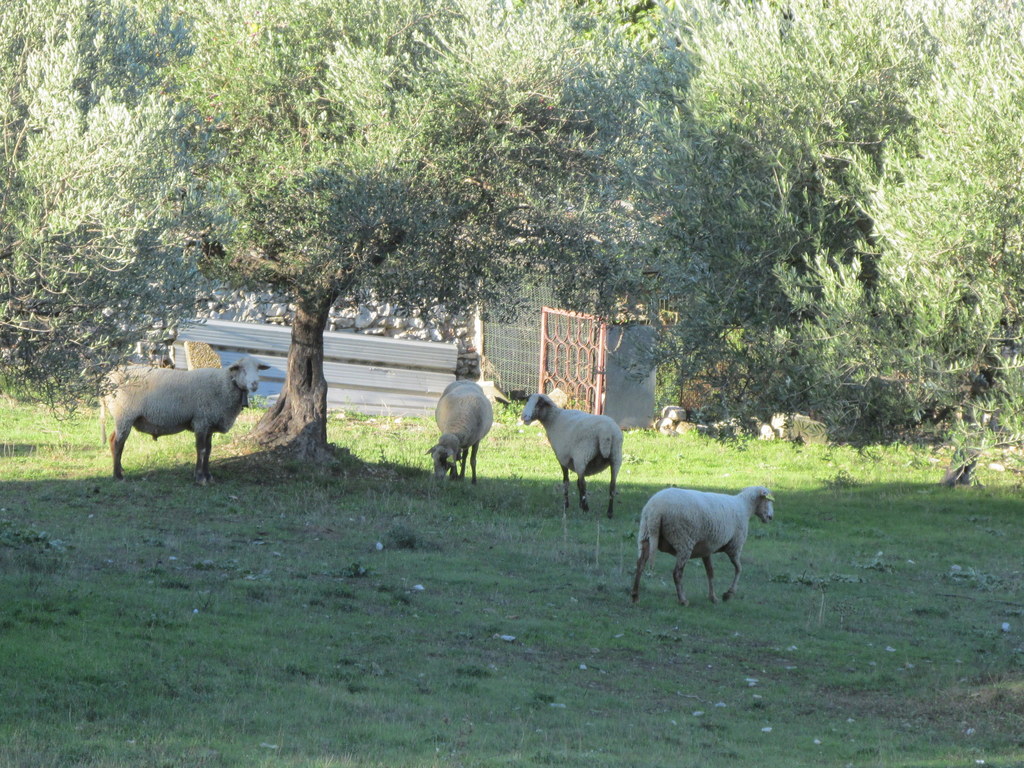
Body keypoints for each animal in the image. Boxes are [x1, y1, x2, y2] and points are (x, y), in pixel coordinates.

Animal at [99, 356, 266, 487]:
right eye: (241, 369)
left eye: (258, 369)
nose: (255, 384)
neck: (225, 384)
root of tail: (106, 379)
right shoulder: (201, 421)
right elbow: (201, 450)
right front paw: (200, 477)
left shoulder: (209, 423)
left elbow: (209, 451)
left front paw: (208, 476)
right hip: (124, 413)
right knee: (117, 442)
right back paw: (118, 476)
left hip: (123, 417)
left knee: (114, 440)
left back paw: (119, 469)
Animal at [626, 487, 770, 606]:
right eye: (768, 501)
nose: (770, 517)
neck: (744, 507)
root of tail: (656, 510)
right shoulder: (734, 546)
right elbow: (739, 569)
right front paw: (728, 594)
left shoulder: (706, 549)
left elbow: (710, 572)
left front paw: (713, 597)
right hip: (683, 540)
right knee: (677, 573)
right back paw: (683, 600)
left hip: (645, 535)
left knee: (640, 565)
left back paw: (635, 596)